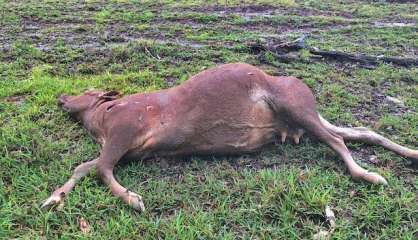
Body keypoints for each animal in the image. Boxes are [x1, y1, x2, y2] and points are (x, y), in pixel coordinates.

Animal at [40, 62, 416, 211]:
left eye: (87, 91)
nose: (61, 97)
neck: (101, 120)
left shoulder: (123, 133)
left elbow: (100, 170)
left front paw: (134, 199)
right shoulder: (125, 148)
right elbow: (85, 167)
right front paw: (53, 198)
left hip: (294, 105)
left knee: (339, 141)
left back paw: (369, 175)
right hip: (308, 118)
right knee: (362, 132)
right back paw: (410, 154)